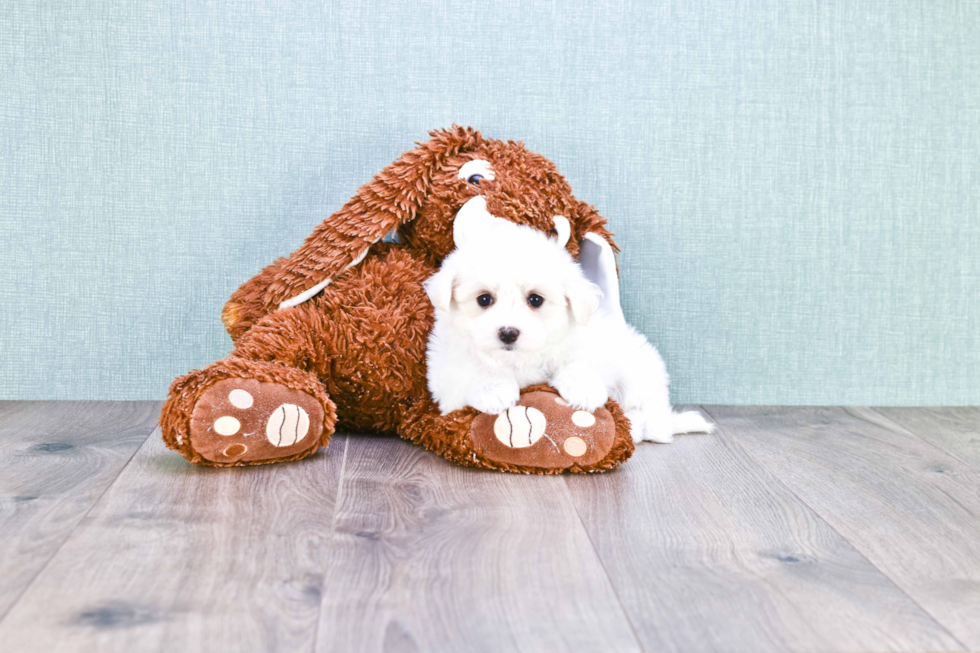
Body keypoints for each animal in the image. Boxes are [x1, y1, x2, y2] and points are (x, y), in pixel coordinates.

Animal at [424, 219, 712, 444]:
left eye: (535, 300)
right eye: (484, 299)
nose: (507, 332)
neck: (518, 359)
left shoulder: (583, 341)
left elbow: (577, 363)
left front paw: (584, 391)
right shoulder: (445, 375)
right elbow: (473, 369)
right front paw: (493, 390)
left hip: (640, 372)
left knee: (651, 420)